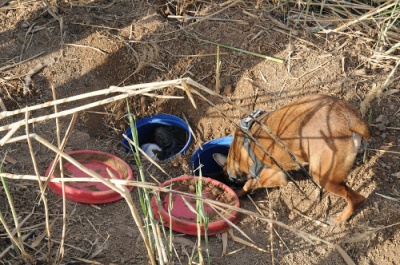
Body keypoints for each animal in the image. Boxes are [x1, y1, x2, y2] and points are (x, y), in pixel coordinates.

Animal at [214, 94, 370, 224]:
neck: (238, 153)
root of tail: (351, 119)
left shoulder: (274, 178)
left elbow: (249, 184)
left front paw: (240, 192)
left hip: (323, 177)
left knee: (357, 199)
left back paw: (339, 219)